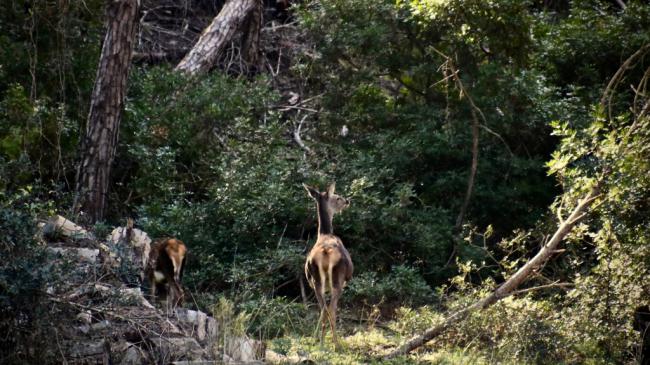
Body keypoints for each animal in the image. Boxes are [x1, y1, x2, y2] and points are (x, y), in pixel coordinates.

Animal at [302, 182, 352, 346]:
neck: (324, 234)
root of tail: (326, 251)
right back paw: (336, 344)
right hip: (338, 278)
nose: (347, 201)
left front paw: (315, 338)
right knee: (331, 308)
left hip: (315, 280)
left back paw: (321, 342)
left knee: (323, 308)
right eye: (337, 197)